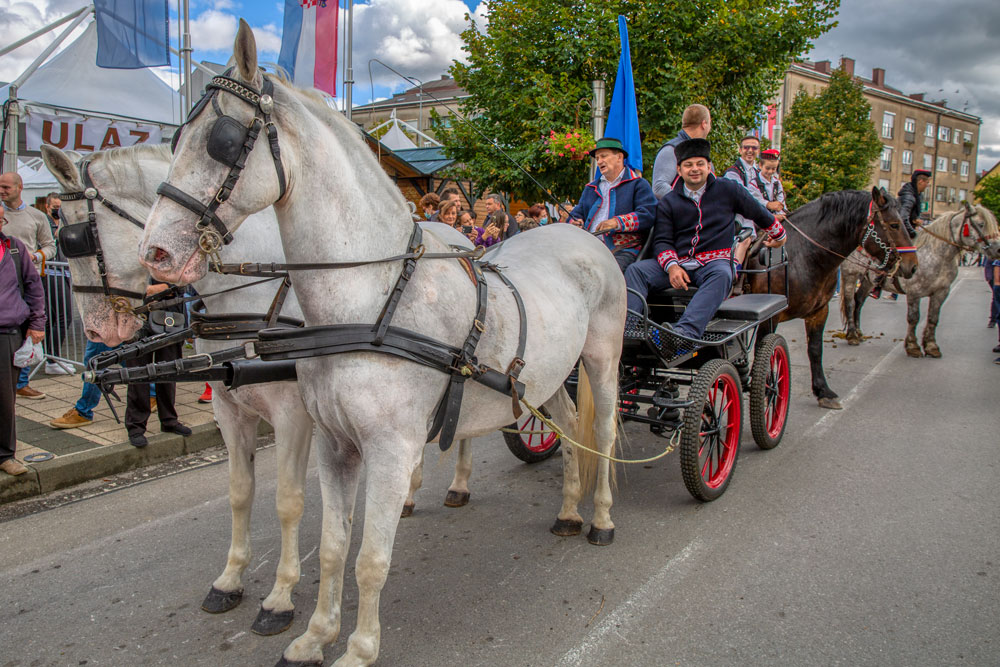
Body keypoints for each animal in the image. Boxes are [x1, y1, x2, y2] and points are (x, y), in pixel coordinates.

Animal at [45, 144, 482, 640]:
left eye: (76, 236)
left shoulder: (294, 416)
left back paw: (459, 484)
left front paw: (280, 597)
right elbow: (241, 491)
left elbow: (288, 502)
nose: (97, 332)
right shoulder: (229, 409)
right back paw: (408, 493)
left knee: (463, 430)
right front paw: (231, 578)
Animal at [137, 22, 620, 667]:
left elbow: (370, 558)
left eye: (222, 139)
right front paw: (314, 636)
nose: (155, 254)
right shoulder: (333, 443)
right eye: (175, 138)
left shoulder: (389, 449)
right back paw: (567, 509)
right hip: (544, 377)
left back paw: (601, 518)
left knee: (605, 435)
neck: (371, 302)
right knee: (568, 429)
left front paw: (359, 648)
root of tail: (578, 230)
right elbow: (333, 547)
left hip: (602, 360)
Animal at [748, 187, 916, 408]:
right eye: (894, 224)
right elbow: (763, 353)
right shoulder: (770, 317)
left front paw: (823, 390)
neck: (801, 254)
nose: (913, 265)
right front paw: (766, 389)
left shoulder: (819, 312)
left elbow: (815, 349)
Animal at [836, 206, 1000, 358]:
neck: (936, 255)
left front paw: (931, 346)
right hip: (851, 275)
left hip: (868, 280)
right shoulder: (914, 292)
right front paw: (912, 346)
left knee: (859, 301)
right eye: (981, 224)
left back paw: (858, 332)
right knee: (850, 303)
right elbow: (914, 318)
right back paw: (852, 335)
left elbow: (933, 318)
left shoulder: (941, 292)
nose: (997, 249)